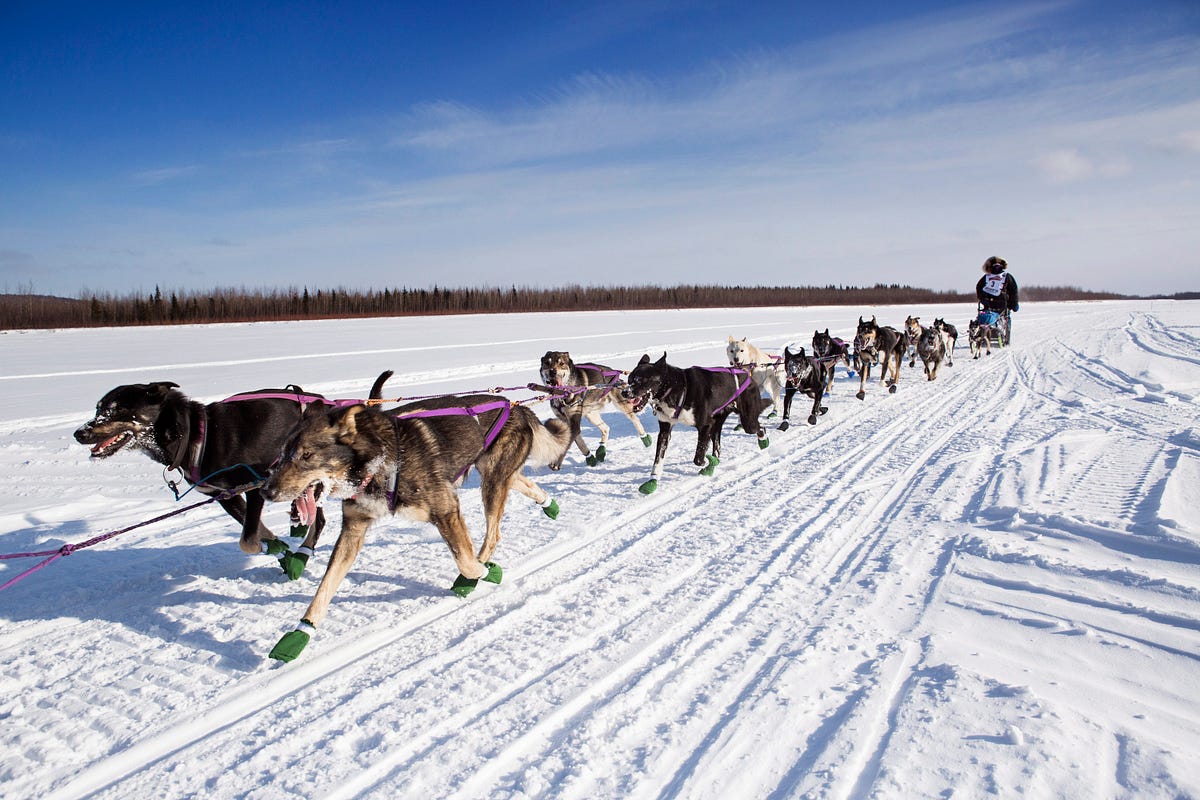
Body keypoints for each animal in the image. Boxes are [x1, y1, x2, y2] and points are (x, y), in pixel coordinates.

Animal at [72, 371, 388, 578]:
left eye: (117, 410)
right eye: (98, 409)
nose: (79, 433)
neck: (195, 434)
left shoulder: (255, 485)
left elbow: (248, 540)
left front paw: (284, 552)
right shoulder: (226, 496)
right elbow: (257, 532)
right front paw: (278, 548)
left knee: (318, 519)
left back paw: (303, 547)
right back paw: (297, 524)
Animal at [260, 393, 568, 662]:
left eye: (307, 455)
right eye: (282, 454)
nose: (266, 491)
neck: (381, 458)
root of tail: (516, 406)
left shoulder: (446, 509)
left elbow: (466, 561)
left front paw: (481, 573)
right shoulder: (354, 528)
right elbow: (325, 587)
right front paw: (300, 633)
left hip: (492, 481)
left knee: (493, 534)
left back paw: (478, 571)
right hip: (496, 475)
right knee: (521, 483)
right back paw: (548, 503)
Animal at [619, 355, 768, 494]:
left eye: (640, 380)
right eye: (629, 380)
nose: (624, 392)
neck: (678, 388)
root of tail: (747, 375)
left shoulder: (706, 426)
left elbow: (698, 457)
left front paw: (706, 462)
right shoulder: (665, 430)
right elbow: (658, 459)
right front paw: (652, 481)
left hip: (747, 422)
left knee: (760, 427)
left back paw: (763, 441)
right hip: (718, 424)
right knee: (717, 446)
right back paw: (714, 462)